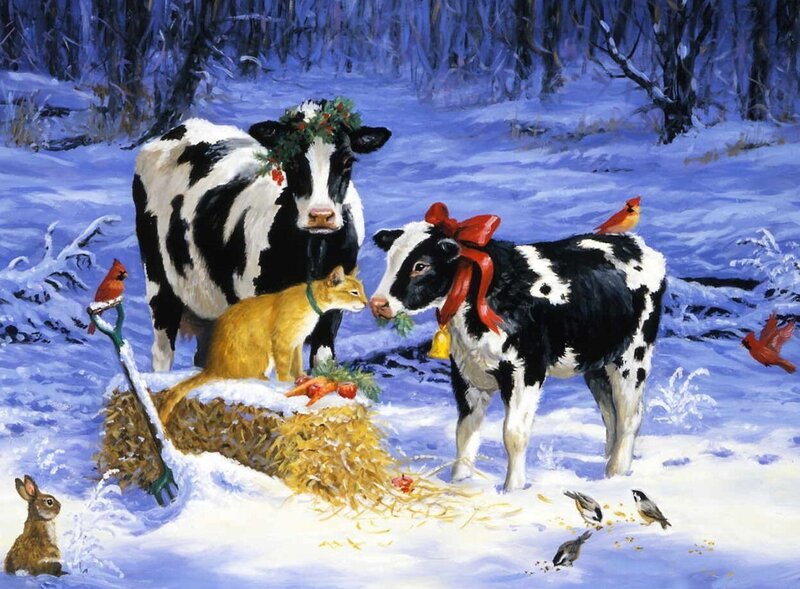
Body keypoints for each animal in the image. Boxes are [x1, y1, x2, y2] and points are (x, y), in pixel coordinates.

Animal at [133, 99, 391, 372]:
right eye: (292, 161)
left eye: (347, 162)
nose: (321, 215)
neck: (312, 252)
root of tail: (182, 127)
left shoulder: (330, 317)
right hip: (159, 282)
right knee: (162, 351)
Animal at [369, 203, 666, 491]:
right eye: (389, 260)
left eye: (421, 265)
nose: (378, 303)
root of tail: (635, 244)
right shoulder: (466, 373)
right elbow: (465, 432)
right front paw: (459, 482)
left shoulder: (525, 371)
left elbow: (513, 434)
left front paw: (513, 488)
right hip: (596, 364)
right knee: (610, 414)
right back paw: (606, 466)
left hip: (632, 357)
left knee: (629, 415)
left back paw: (617, 473)